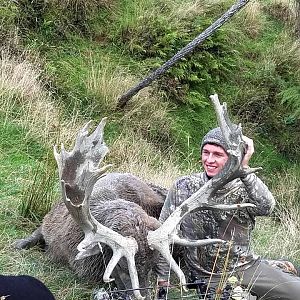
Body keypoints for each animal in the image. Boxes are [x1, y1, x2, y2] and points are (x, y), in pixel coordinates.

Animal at [14, 94, 258, 300]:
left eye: (152, 264)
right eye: (120, 264)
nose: (140, 295)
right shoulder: (49, 223)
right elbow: (34, 235)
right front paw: (18, 243)